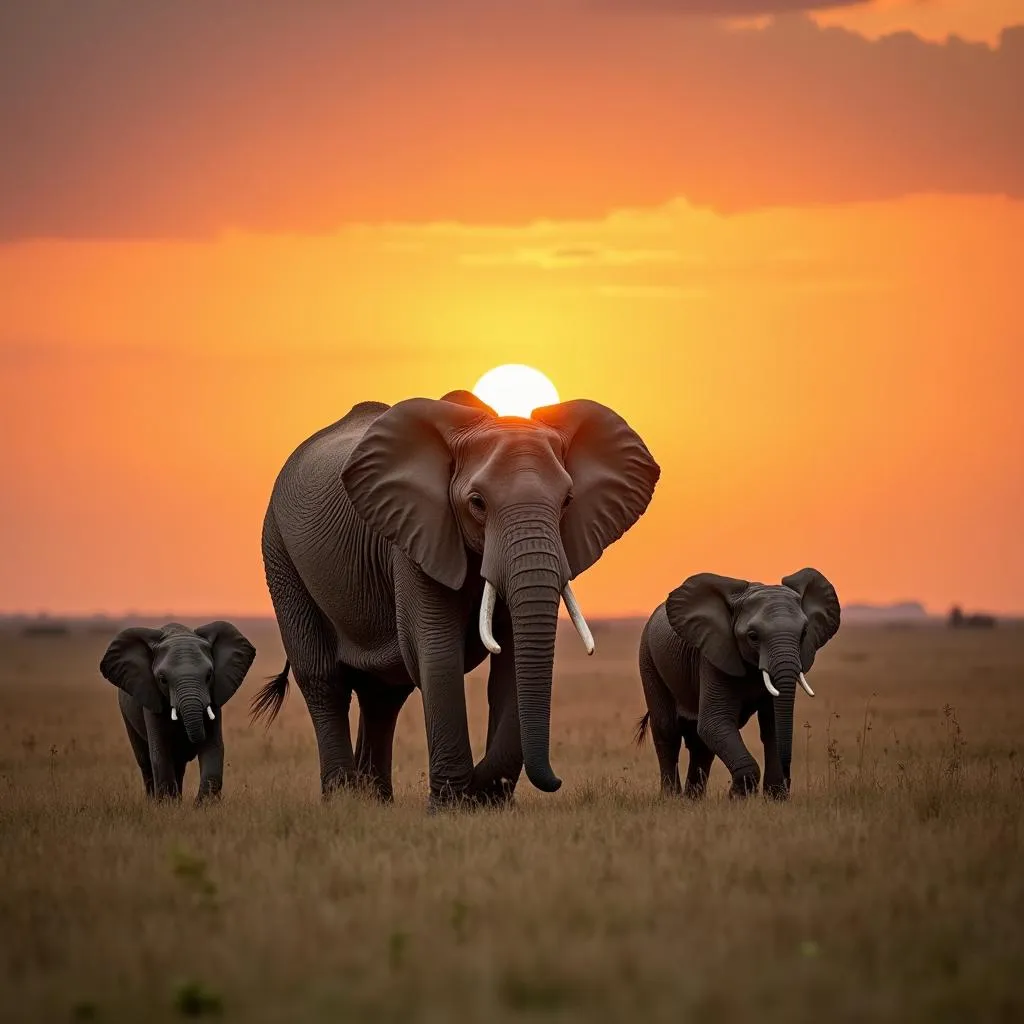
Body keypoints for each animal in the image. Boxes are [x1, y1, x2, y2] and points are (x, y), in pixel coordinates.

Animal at [100, 618, 258, 802]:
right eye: (162, 679)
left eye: (209, 676)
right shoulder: (152, 698)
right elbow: (160, 751)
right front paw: (168, 805)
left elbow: (213, 747)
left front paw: (203, 805)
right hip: (126, 714)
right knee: (145, 761)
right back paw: (152, 801)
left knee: (178, 764)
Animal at [251, 391, 659, 806]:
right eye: (477, 502)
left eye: (568, 500)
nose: (556, 781)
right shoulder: (416, 535)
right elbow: (437, 649)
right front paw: (453, 804)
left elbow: (511, 660)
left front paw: (488, 798)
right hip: (279, 552)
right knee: (324, 679)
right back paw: (343, 799)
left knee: (383, 692)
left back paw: (375, 801)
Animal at [630, 569, 839, 798]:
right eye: (753, 636)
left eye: (804, 633)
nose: (788, 778)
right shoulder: (714, 656)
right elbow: (714, 722)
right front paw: (736, 798)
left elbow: (771, 725)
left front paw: (774, 799)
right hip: (649, 660)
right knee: (668, 731)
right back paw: (673, 798)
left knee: (699, 743)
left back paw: (693, 800)